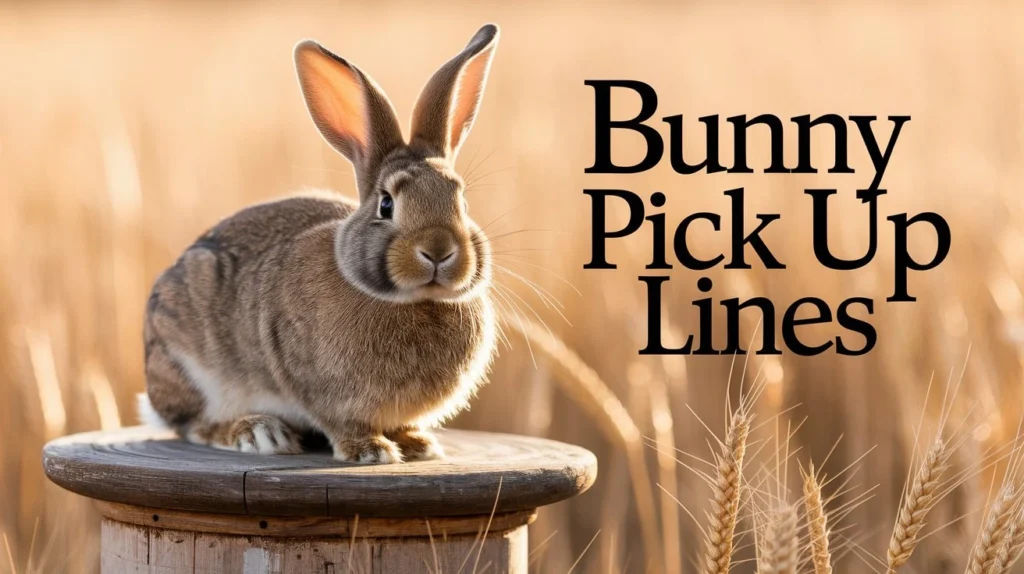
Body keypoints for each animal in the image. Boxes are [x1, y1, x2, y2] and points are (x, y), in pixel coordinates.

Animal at [137, 24, 501, 464]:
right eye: (386, 204)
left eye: (461, 202)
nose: (438, 251)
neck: (414, 300)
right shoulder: (317, 388)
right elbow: (342, 423)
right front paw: (372, 452)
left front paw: (418, 445)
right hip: (188, 362)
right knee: (192, 425)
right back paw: (259, 434)